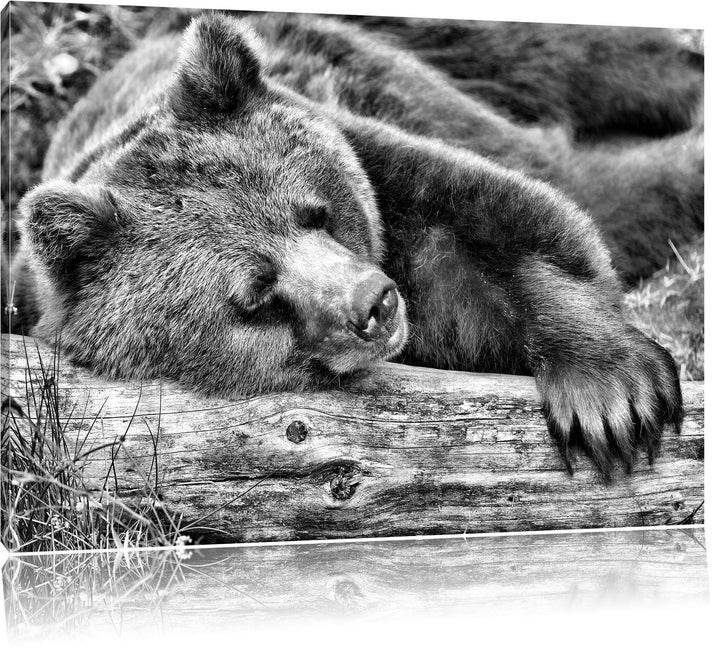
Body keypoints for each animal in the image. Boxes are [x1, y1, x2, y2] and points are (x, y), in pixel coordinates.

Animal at [10, 11, 702, 477]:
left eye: (315, 212)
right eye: (256, 293)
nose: (375, 303)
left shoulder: (385, 167)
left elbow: (520, 214)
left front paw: (611, 398)